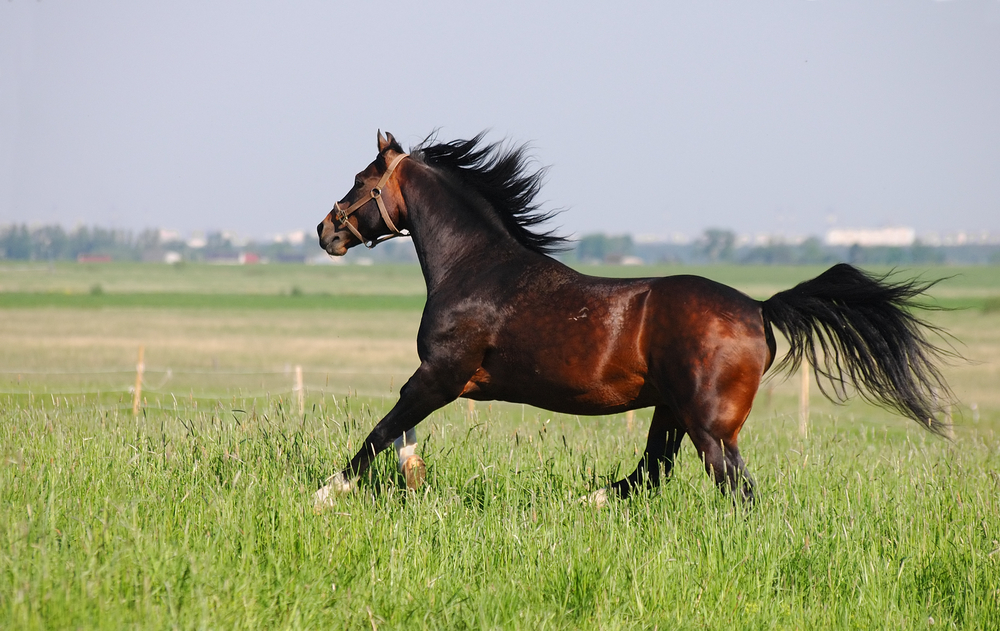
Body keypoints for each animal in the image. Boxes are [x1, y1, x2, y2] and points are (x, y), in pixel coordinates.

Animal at [313, 131, 954, 509]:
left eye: (361, 181)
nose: (325, 230)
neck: (475, 268)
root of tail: (758, 309)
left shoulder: (441, 374)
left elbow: (381, 430)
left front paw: (326, 492)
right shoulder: (442, 380)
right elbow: (401, 432)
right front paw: (413, 479)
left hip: (709, 427)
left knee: (735, 489)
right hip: (671, 409)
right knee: (652, 472)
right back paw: (586, 502)